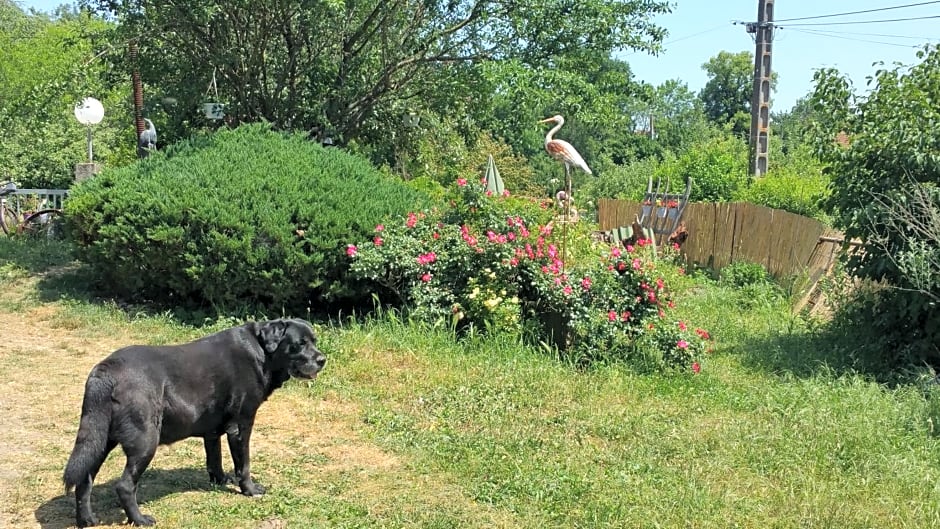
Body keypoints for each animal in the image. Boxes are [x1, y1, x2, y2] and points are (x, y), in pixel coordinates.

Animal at [63, 316, 326, 524]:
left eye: (314, 341)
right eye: (299, 344)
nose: (322, 359)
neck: (262, 353)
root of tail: (105, 371)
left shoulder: (213, 430)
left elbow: (214, 457)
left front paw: (220, 480)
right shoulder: (242, 424)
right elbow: (244, 464)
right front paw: (250, 490)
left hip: (99, 439)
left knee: (84, 480)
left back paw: (87, 520)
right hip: (145, 441)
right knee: (124, 486)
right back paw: (140, 519)